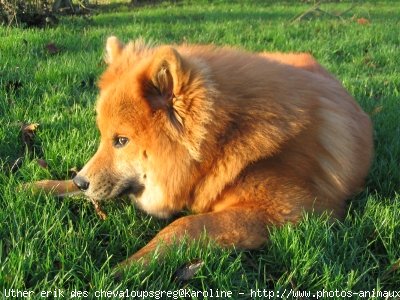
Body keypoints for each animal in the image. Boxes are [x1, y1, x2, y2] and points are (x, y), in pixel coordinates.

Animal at [29, 36, 374, 268]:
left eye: (122, 141)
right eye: (103, 137)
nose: (82, 182)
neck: (226, 136)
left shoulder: (292, 213)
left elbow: (182, 225)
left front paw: (128, 267)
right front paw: (37, 187)